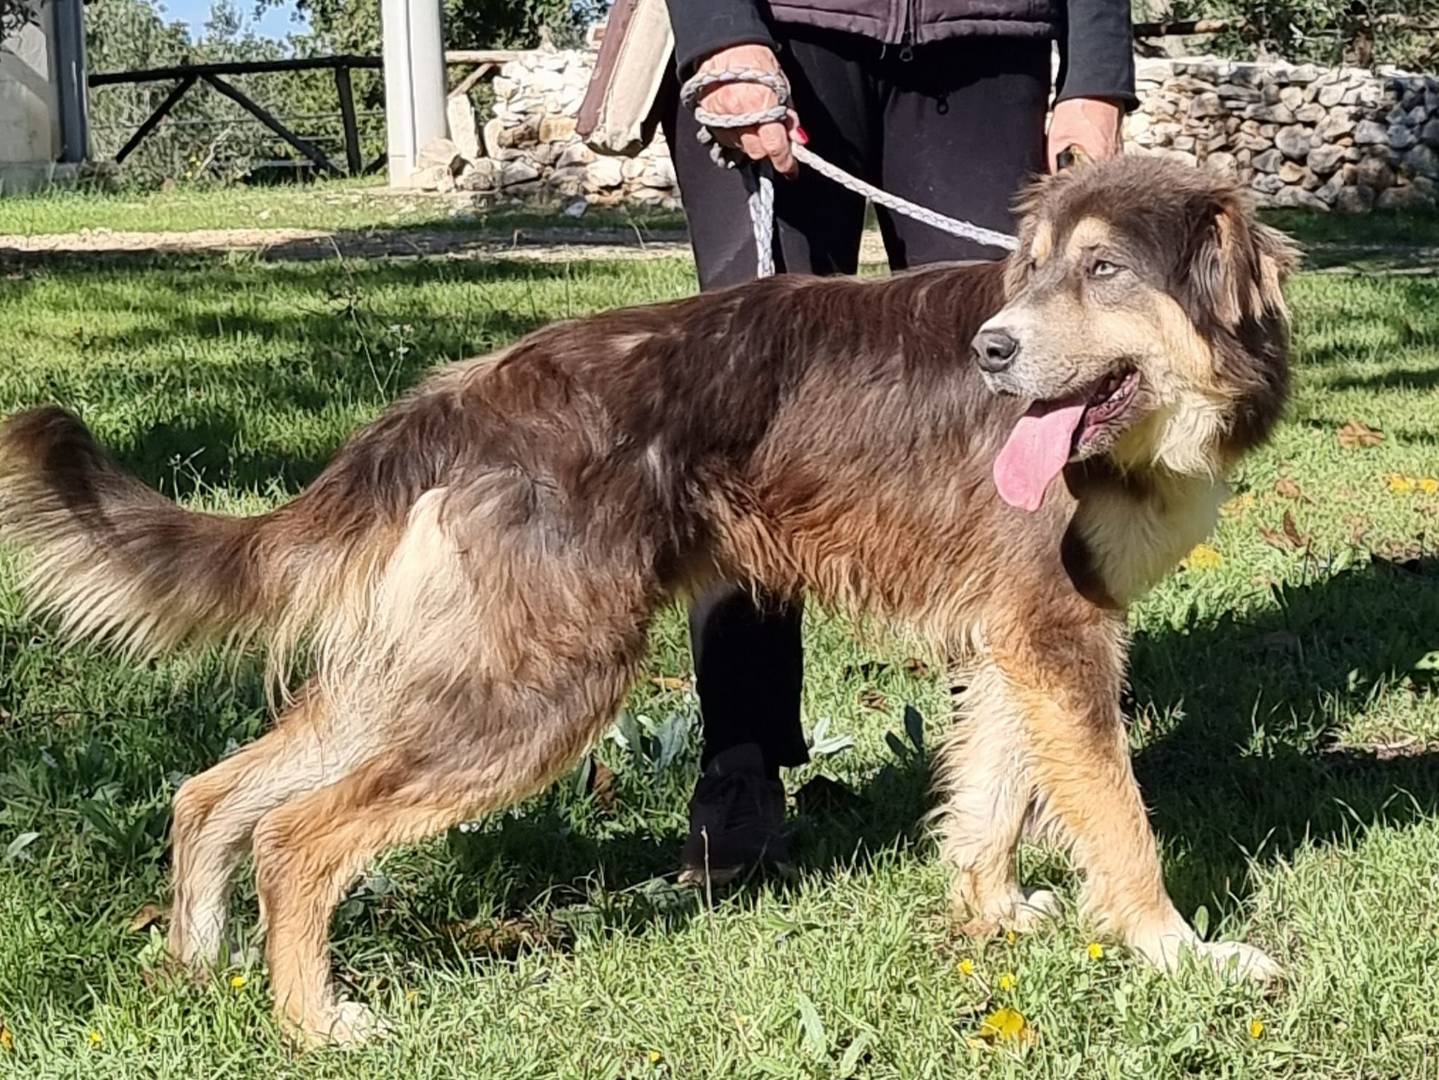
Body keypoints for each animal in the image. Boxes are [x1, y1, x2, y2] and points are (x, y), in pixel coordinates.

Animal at [0, 156, 1300, 1041]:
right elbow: (1119, 824)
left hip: (450, 670)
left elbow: (989, 795)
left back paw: (197, 967)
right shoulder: (1055, 631)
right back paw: (315, 1021)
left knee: (211, 791)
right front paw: (1176, 953)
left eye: (1101, 270)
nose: (989, 350)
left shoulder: (1013, 638)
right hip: (541, 690)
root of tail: (466, 394)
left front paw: (991, 915)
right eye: (1033, 271)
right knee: (296, 834)